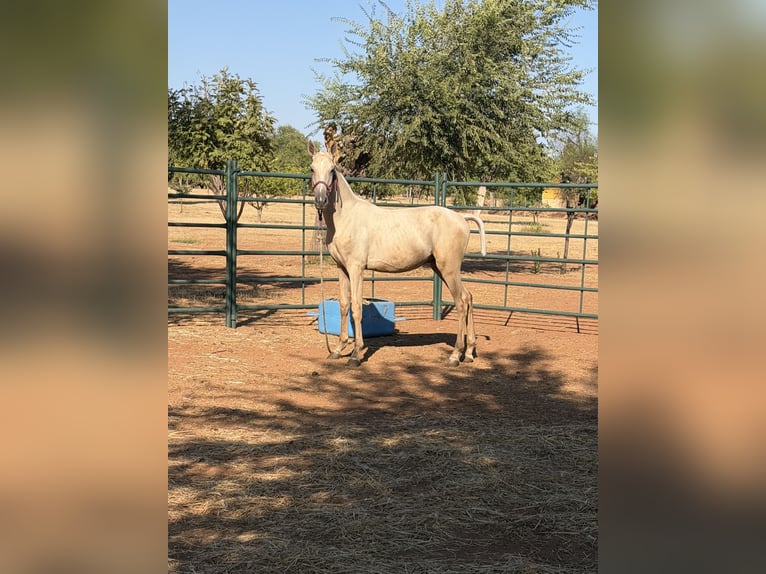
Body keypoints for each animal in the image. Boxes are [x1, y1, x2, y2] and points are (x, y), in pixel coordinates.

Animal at [308, 141, 486, 367]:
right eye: (311, 168)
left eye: (332, 170)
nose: (321, 200)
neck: (346, 217)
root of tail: (462, 218)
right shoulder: (342, 268)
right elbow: (344, 305)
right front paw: (338, 350)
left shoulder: (356, 268)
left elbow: (356, 307)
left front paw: (356, 354)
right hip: (441, 268)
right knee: (468, 297)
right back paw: (470, 352)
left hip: (449, 269)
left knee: (462, 302)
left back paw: (455, 355)